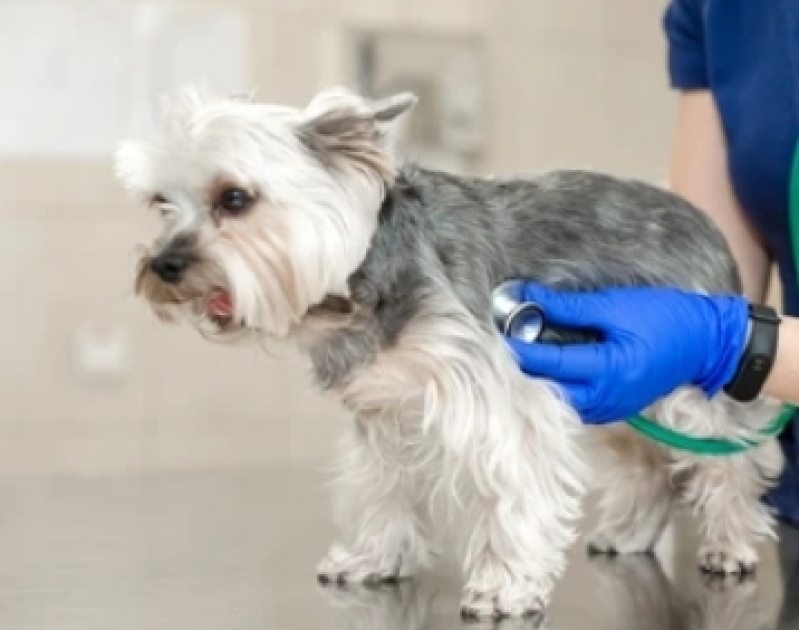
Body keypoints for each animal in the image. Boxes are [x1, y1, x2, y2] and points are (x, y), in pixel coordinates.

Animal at [115, 86, 784, 624]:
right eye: (162, 203)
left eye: (234, 198)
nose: (164, 266)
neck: (358, 278)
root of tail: (697, 215)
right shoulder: (382, 410)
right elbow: (379, 486)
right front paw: (373, 555)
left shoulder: (502, 402)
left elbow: (514, 490)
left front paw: (505, 586)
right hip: (625, 383)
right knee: (647, 462)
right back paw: (629, 531)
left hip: (688, 386)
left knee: (729, 456)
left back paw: (730, 542)